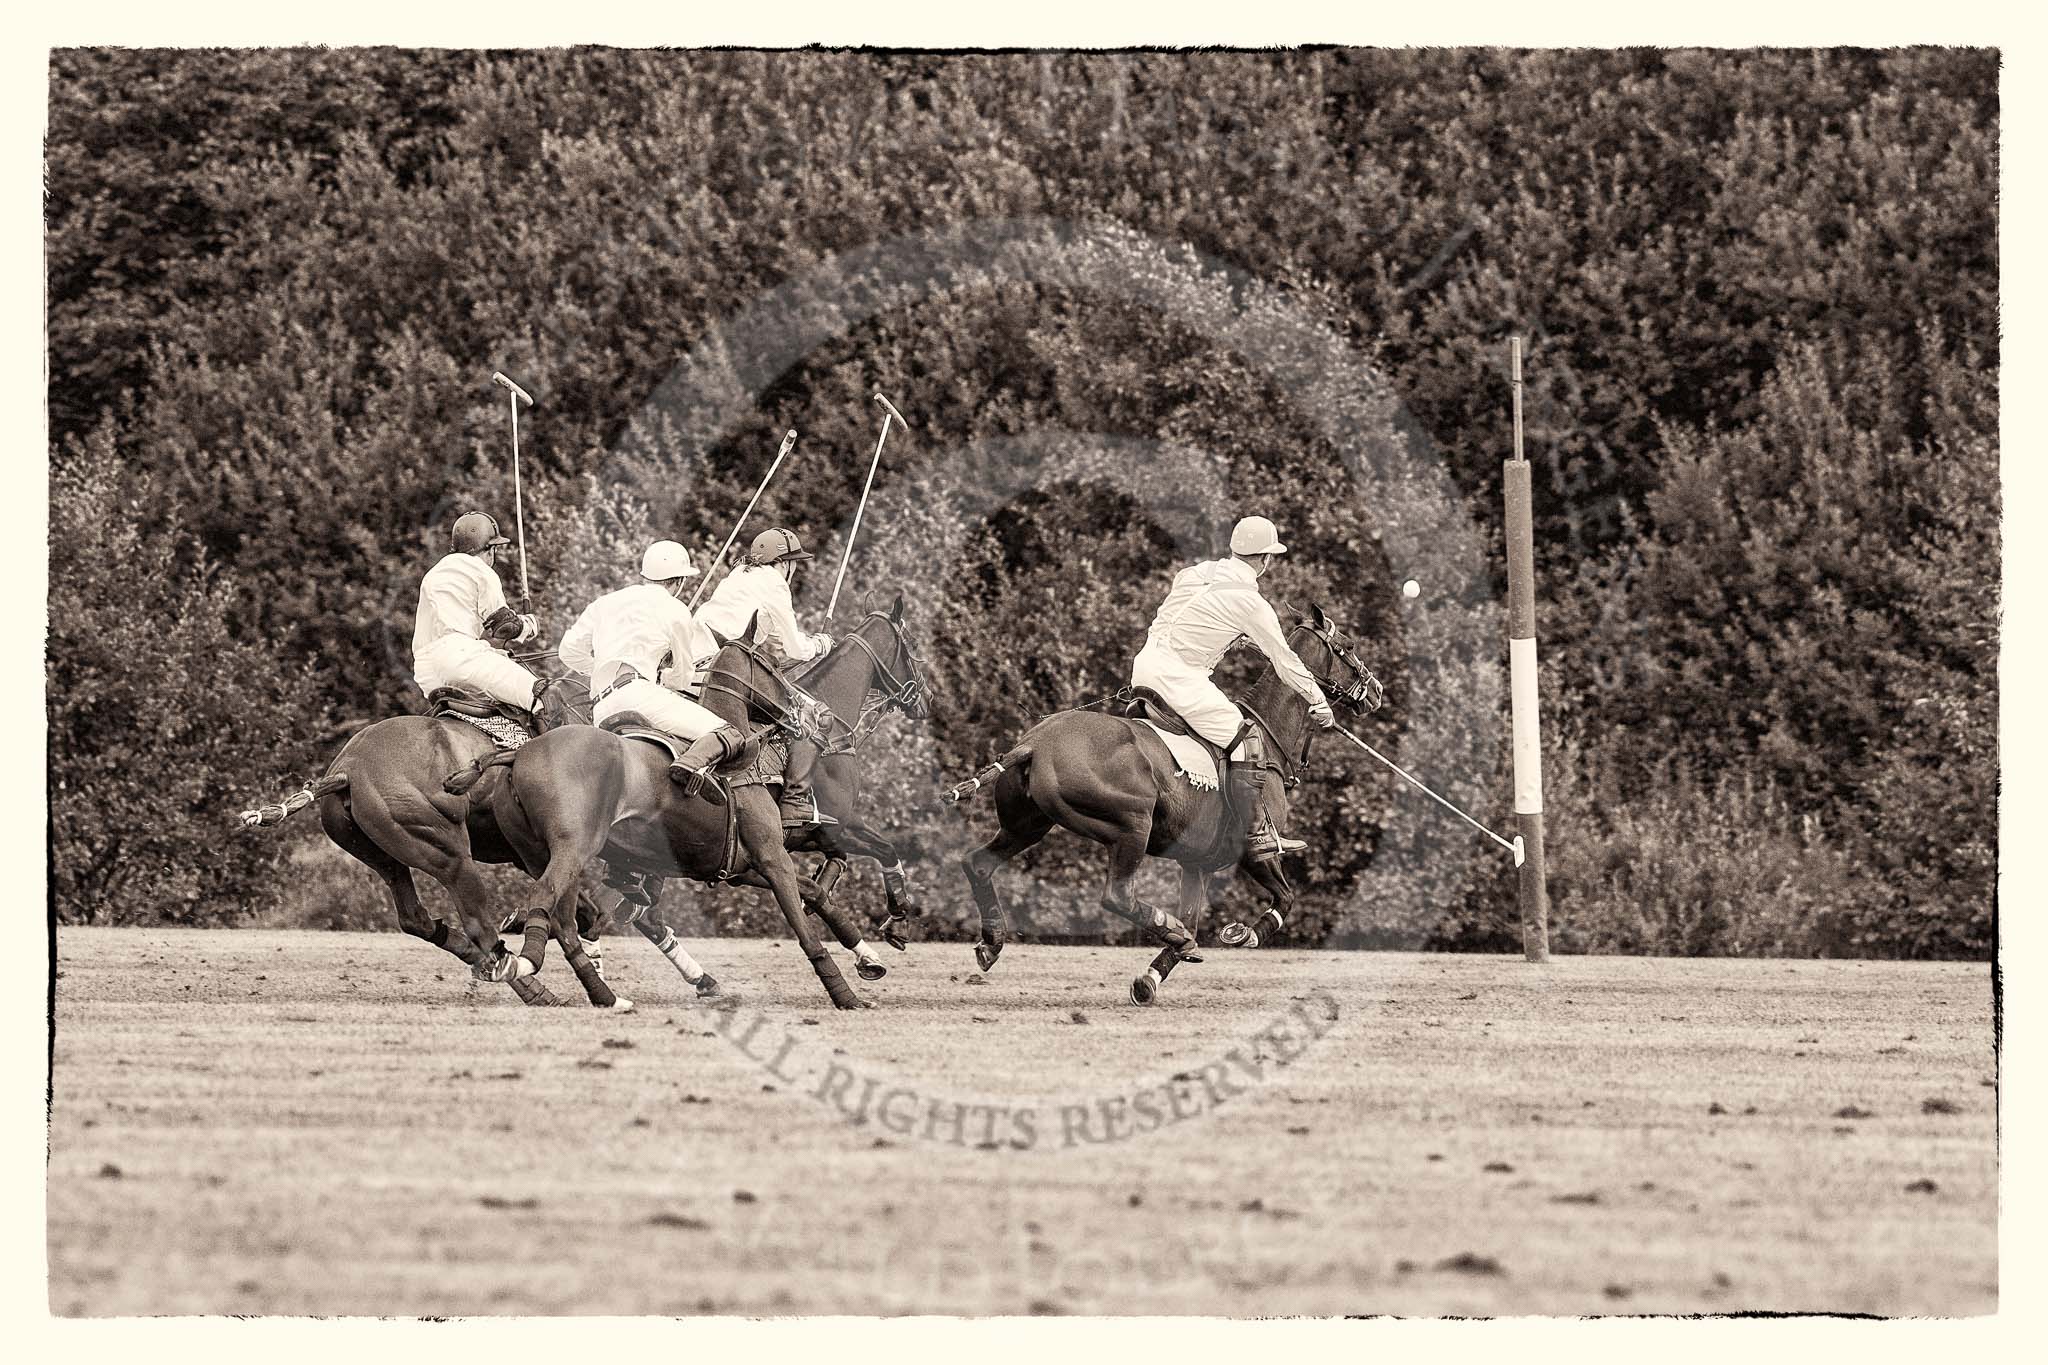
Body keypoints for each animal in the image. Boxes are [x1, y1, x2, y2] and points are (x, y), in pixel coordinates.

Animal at [942, 609, 1376, 1002]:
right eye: (1350, 646)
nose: (1376, 691)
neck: (1269, 740)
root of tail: (1032, 743)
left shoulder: (1197, 862)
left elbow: (1195, 917)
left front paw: (1148, 981)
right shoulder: (1255, 853)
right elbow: (1284, 898)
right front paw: (1242, 934)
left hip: (1027, 823)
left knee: (977, 863)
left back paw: (992, 942)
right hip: (1133, 824)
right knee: (1116, 895)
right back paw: (1173, 931)